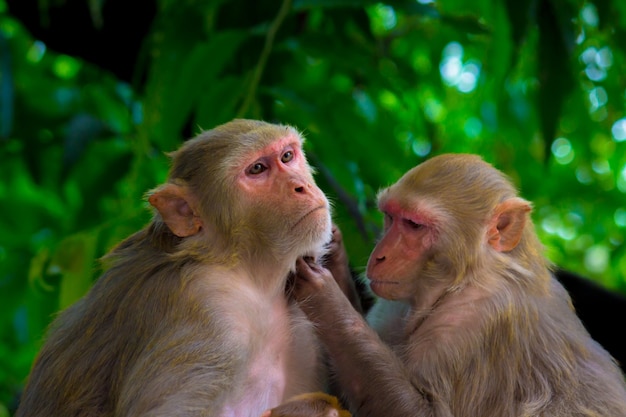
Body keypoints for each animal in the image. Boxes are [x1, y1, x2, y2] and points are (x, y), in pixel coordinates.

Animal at [292, 153, 624, 416]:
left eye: (414, 225)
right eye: (390, 217)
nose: (379, 256)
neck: (461, 282)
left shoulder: (478, 322)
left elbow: (422, 413)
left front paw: (327, 299)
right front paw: (332, 255)